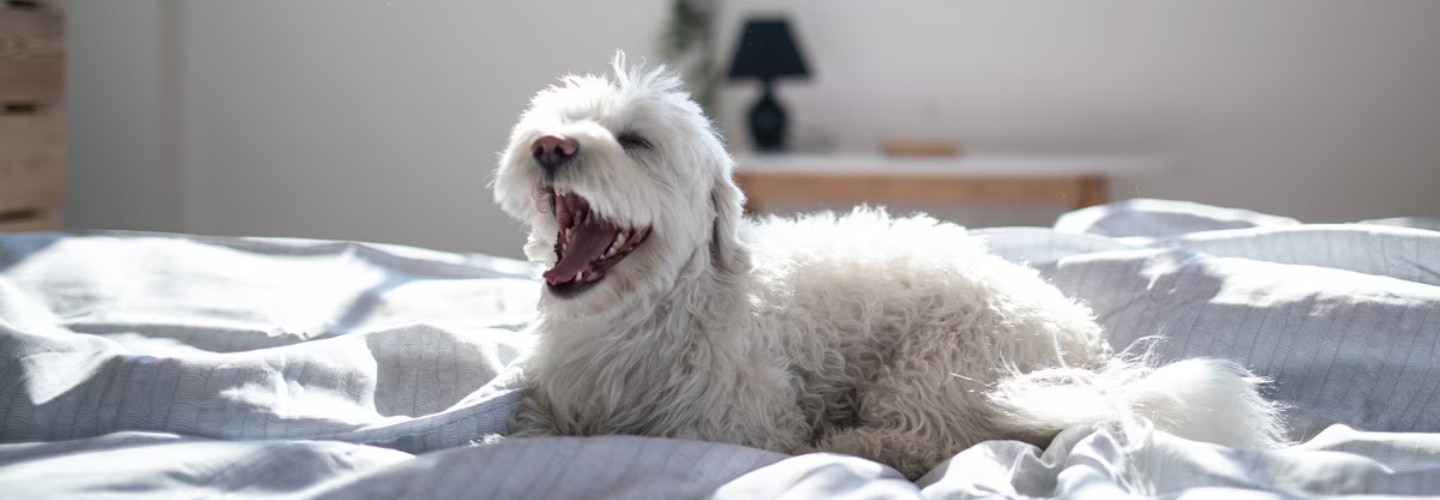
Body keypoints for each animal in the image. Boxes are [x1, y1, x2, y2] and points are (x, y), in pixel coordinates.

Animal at [488, 52, 1288, 479]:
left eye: (635, 141)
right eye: (555, 122)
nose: (551, 145)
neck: (644, 315)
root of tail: (1092, 353)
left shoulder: (739, 426)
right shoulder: (554, 405)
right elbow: (527, 430)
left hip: (939, 364)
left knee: (939, 440)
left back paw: (854, 444)